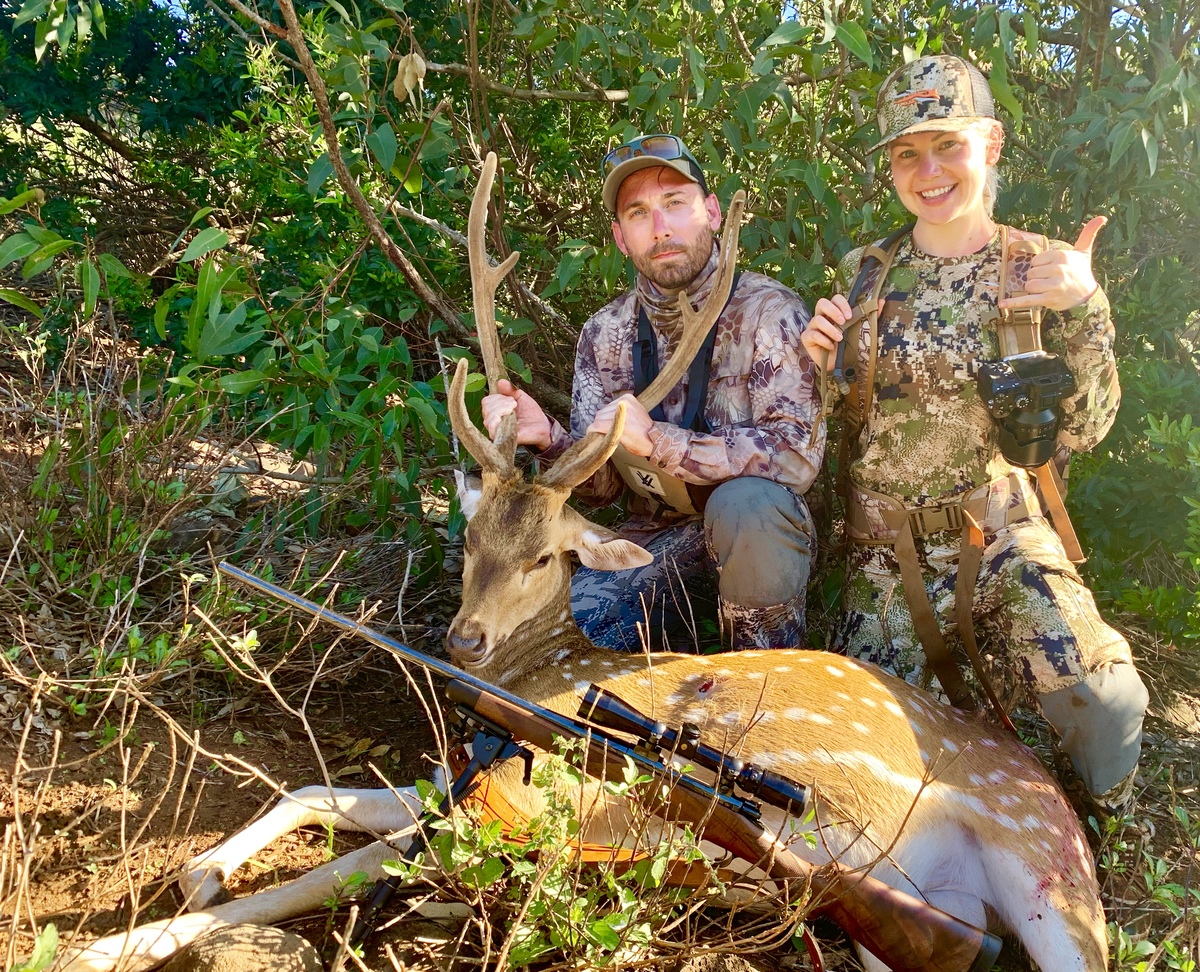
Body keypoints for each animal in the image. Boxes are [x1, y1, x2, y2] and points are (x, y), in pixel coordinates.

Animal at [51, 155, 1107, 972]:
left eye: (547, 555)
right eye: (473, 538)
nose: (464, 639)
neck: (544, 675)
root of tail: (1060, 805)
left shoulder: (535, 800)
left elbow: (312, 881)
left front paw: (107, 945)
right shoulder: (461, 776)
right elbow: (310, 790)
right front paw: (200, 865)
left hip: (1053, 880)